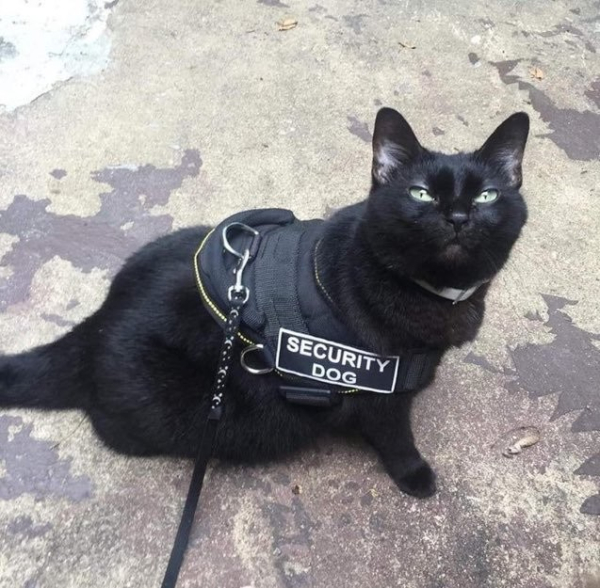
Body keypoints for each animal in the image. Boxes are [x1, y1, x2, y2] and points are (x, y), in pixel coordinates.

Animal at [0, 109, 528, 496]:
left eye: (486, 196)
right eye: (421, 194)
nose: (458, 217)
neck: (435, 293)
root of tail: (94, 324)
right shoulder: (381, 398)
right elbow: (397, 438)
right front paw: (415, 475)